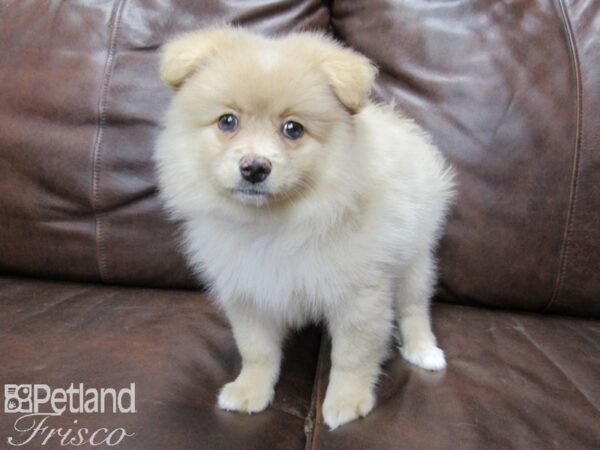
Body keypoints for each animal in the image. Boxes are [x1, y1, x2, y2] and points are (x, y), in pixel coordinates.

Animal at [154, 26, 454, 430]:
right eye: (227, 122)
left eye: (292, 129)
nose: (254, 167)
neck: (275, 224)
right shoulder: (249, 291)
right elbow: (256, 349)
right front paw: (250, 389)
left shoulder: (360, 295)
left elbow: (352, 355)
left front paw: (347, 400)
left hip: (415, 260)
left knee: (414, 308)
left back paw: (424, 350)